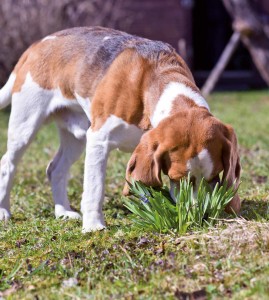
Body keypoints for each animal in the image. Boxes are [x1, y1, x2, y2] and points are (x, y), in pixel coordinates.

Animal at [0, 27, 240, 232]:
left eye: (213, 179)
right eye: (179, 179)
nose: (200, 216)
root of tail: (37, 44)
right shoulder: (99, 139)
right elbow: (95, 188)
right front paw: (93, 226)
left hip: (76, 137)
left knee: (55, 169)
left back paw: (63, 212)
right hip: (26, 124)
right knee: (7, 164)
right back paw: (4, 211)